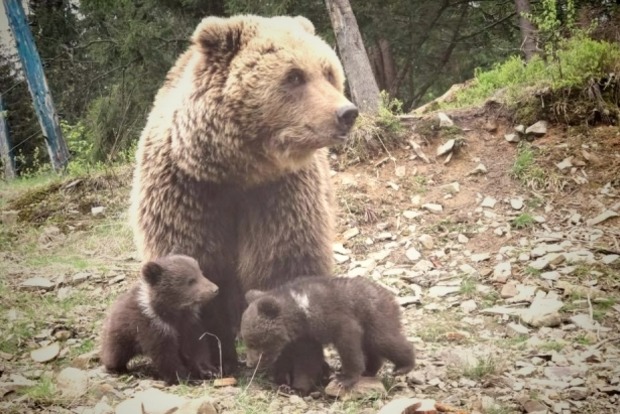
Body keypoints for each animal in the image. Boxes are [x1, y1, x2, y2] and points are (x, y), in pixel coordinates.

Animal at [127, 13, 358, 388]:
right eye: (294, 75)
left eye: (328, 71)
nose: (347, 113)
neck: (237, 169)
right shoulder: (189, 191)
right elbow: (197, 265)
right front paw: (211, 359)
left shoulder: (279, 192)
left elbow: (284, 260)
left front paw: (299, 367)